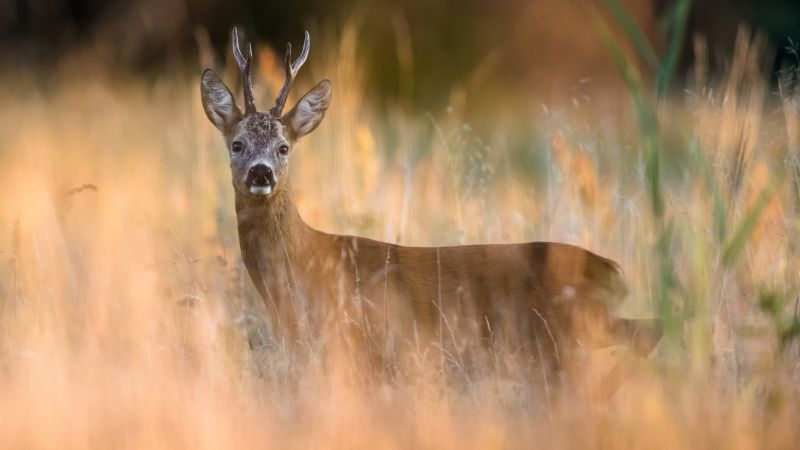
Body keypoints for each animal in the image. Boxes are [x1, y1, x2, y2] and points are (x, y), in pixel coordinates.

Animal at [200, 28, 659, 386]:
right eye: (237, 143)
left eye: (284, 147)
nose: (261, 173)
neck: (303, 267)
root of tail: (614, 272)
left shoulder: (364, 342)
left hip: (563, 331)